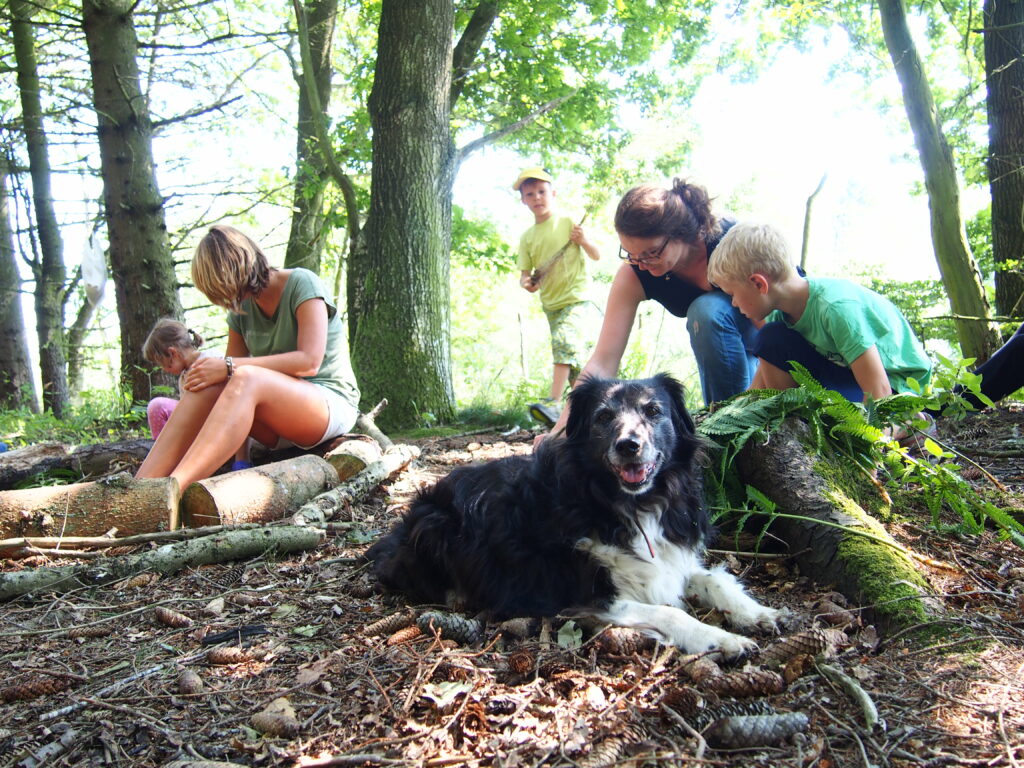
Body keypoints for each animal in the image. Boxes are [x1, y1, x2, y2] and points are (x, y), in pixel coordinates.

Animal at [368, 376, 774, 659]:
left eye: (654, 411)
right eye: (604, 417)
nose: (629, 446)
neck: (628, 505)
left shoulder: (672, 558)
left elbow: (714, 580)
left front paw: (756, 612)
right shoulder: (585, 597)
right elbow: (669, 613)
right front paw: (720, 638)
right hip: (435, 524)